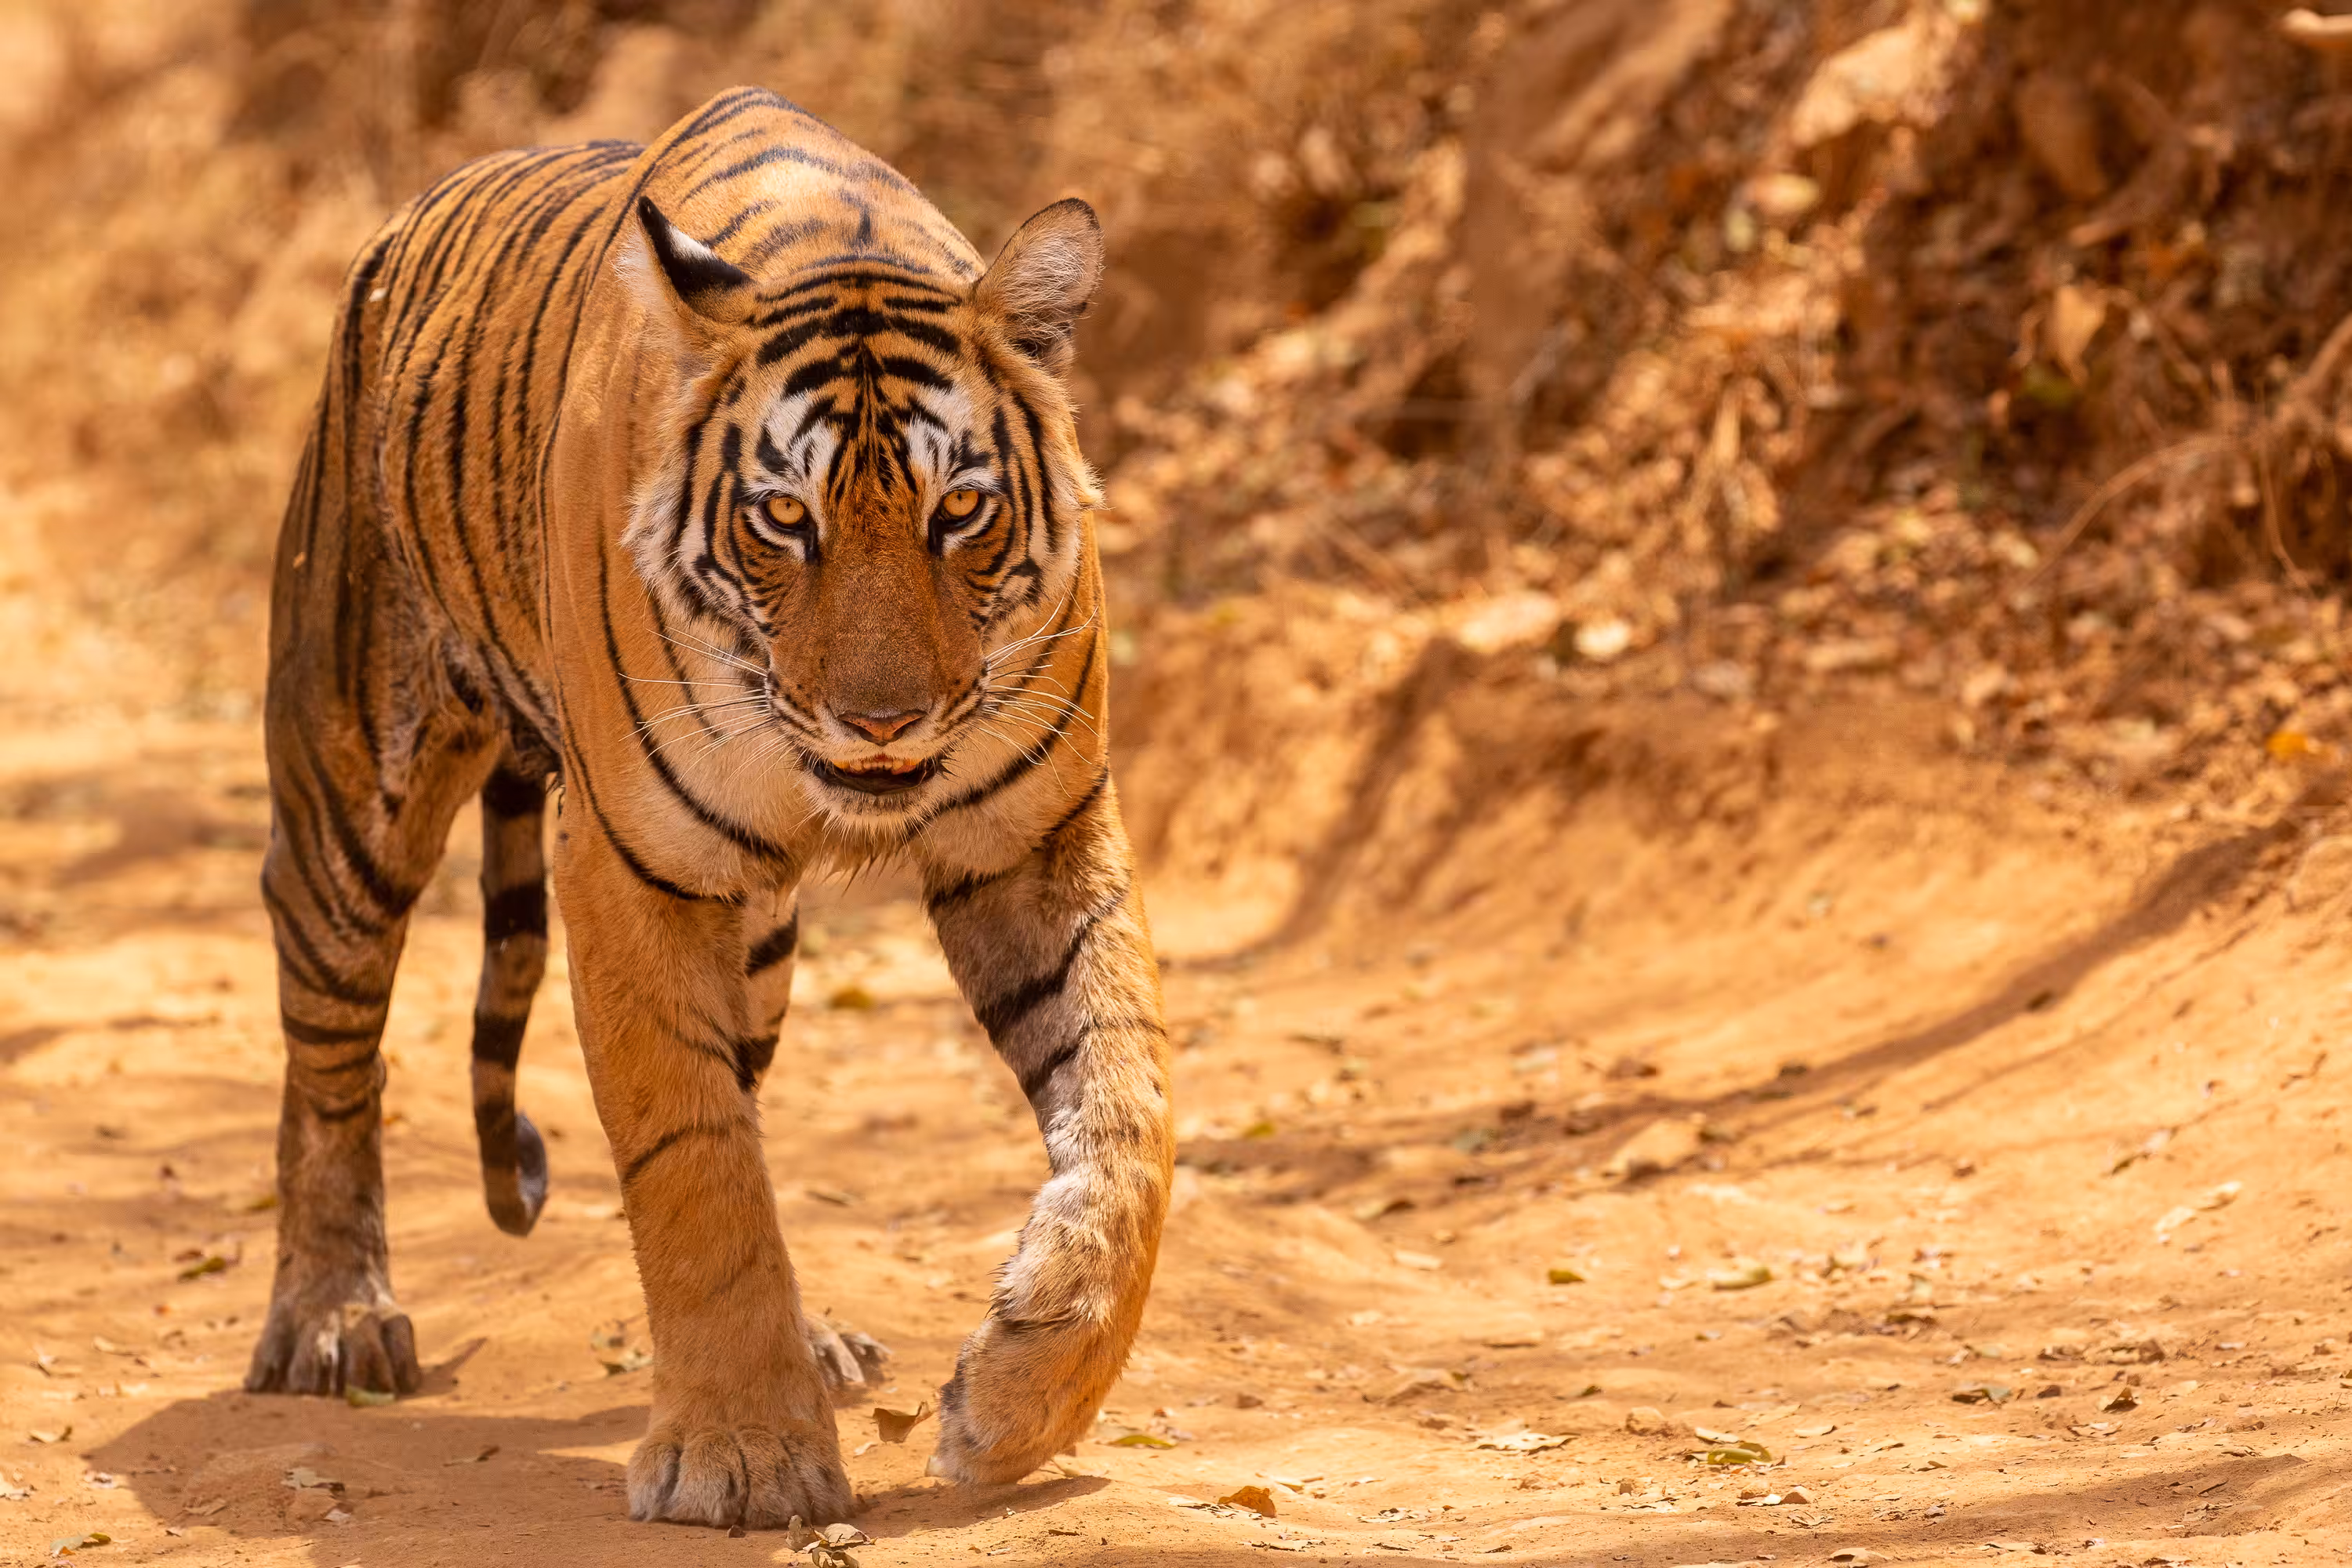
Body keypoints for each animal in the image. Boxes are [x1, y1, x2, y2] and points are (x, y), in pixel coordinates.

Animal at [245, 84, 1174, 1529]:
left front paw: (1023, 1394)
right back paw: (333, 1320)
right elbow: (696, 1165)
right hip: (349, 787)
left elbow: (1128, 1108)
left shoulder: (1037, 834)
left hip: (766, 939)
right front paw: (743, 1456)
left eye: (961, 509)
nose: (883, 721)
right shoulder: (629, 865)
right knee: (333, 1062)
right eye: (782, 519)